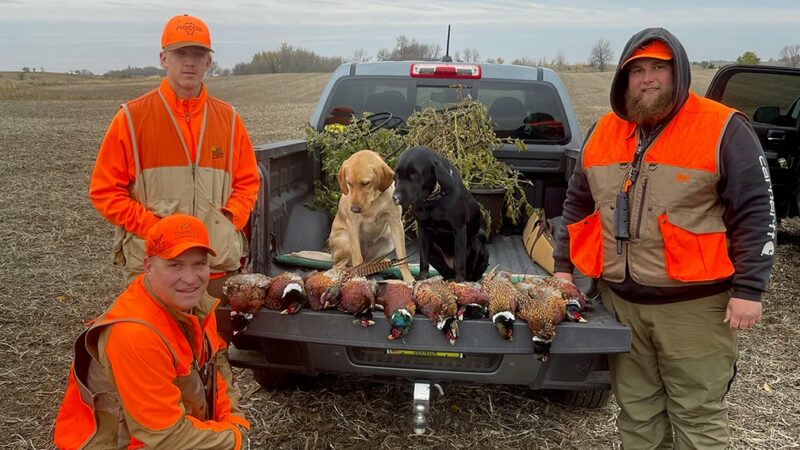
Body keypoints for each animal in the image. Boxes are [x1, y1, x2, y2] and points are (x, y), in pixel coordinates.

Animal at [330, 150, 416, 282]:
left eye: (365, 183)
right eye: (349, 183)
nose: (354, 209)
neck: (373, 202)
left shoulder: (396, 222)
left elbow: (403, 256)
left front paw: (408, 279)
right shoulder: (353, 226)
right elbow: (357, 259)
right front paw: (359, 279)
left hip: (388, 241)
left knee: (368, 263)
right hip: (345, 240)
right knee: (339, 265)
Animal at [392, 147, 490, 282]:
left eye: (414, 174)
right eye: (397, 174)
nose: (395, 198)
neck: (432, 201)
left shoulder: (459, 230)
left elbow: (460, 262)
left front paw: (459, 282)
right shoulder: (422, 230)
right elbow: (423, 261)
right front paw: (422, 279)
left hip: (478, 241)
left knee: (471, 272)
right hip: (432, 247)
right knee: (446, 271)